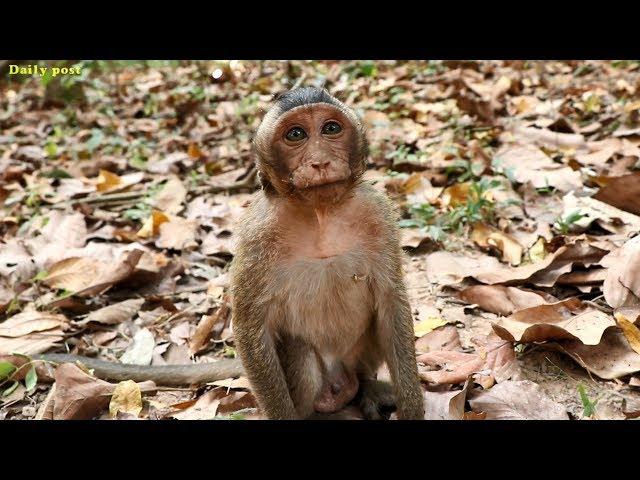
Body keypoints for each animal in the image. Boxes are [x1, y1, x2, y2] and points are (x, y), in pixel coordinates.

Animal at [230, 86, 424, 420]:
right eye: (296, 134)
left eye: (331, 128)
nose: (320, 162)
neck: (320, 212)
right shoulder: (256, 234)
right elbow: (251, 327)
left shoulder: (377, 212)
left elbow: (391, 301)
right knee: (302, 354)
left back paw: (367, 389)